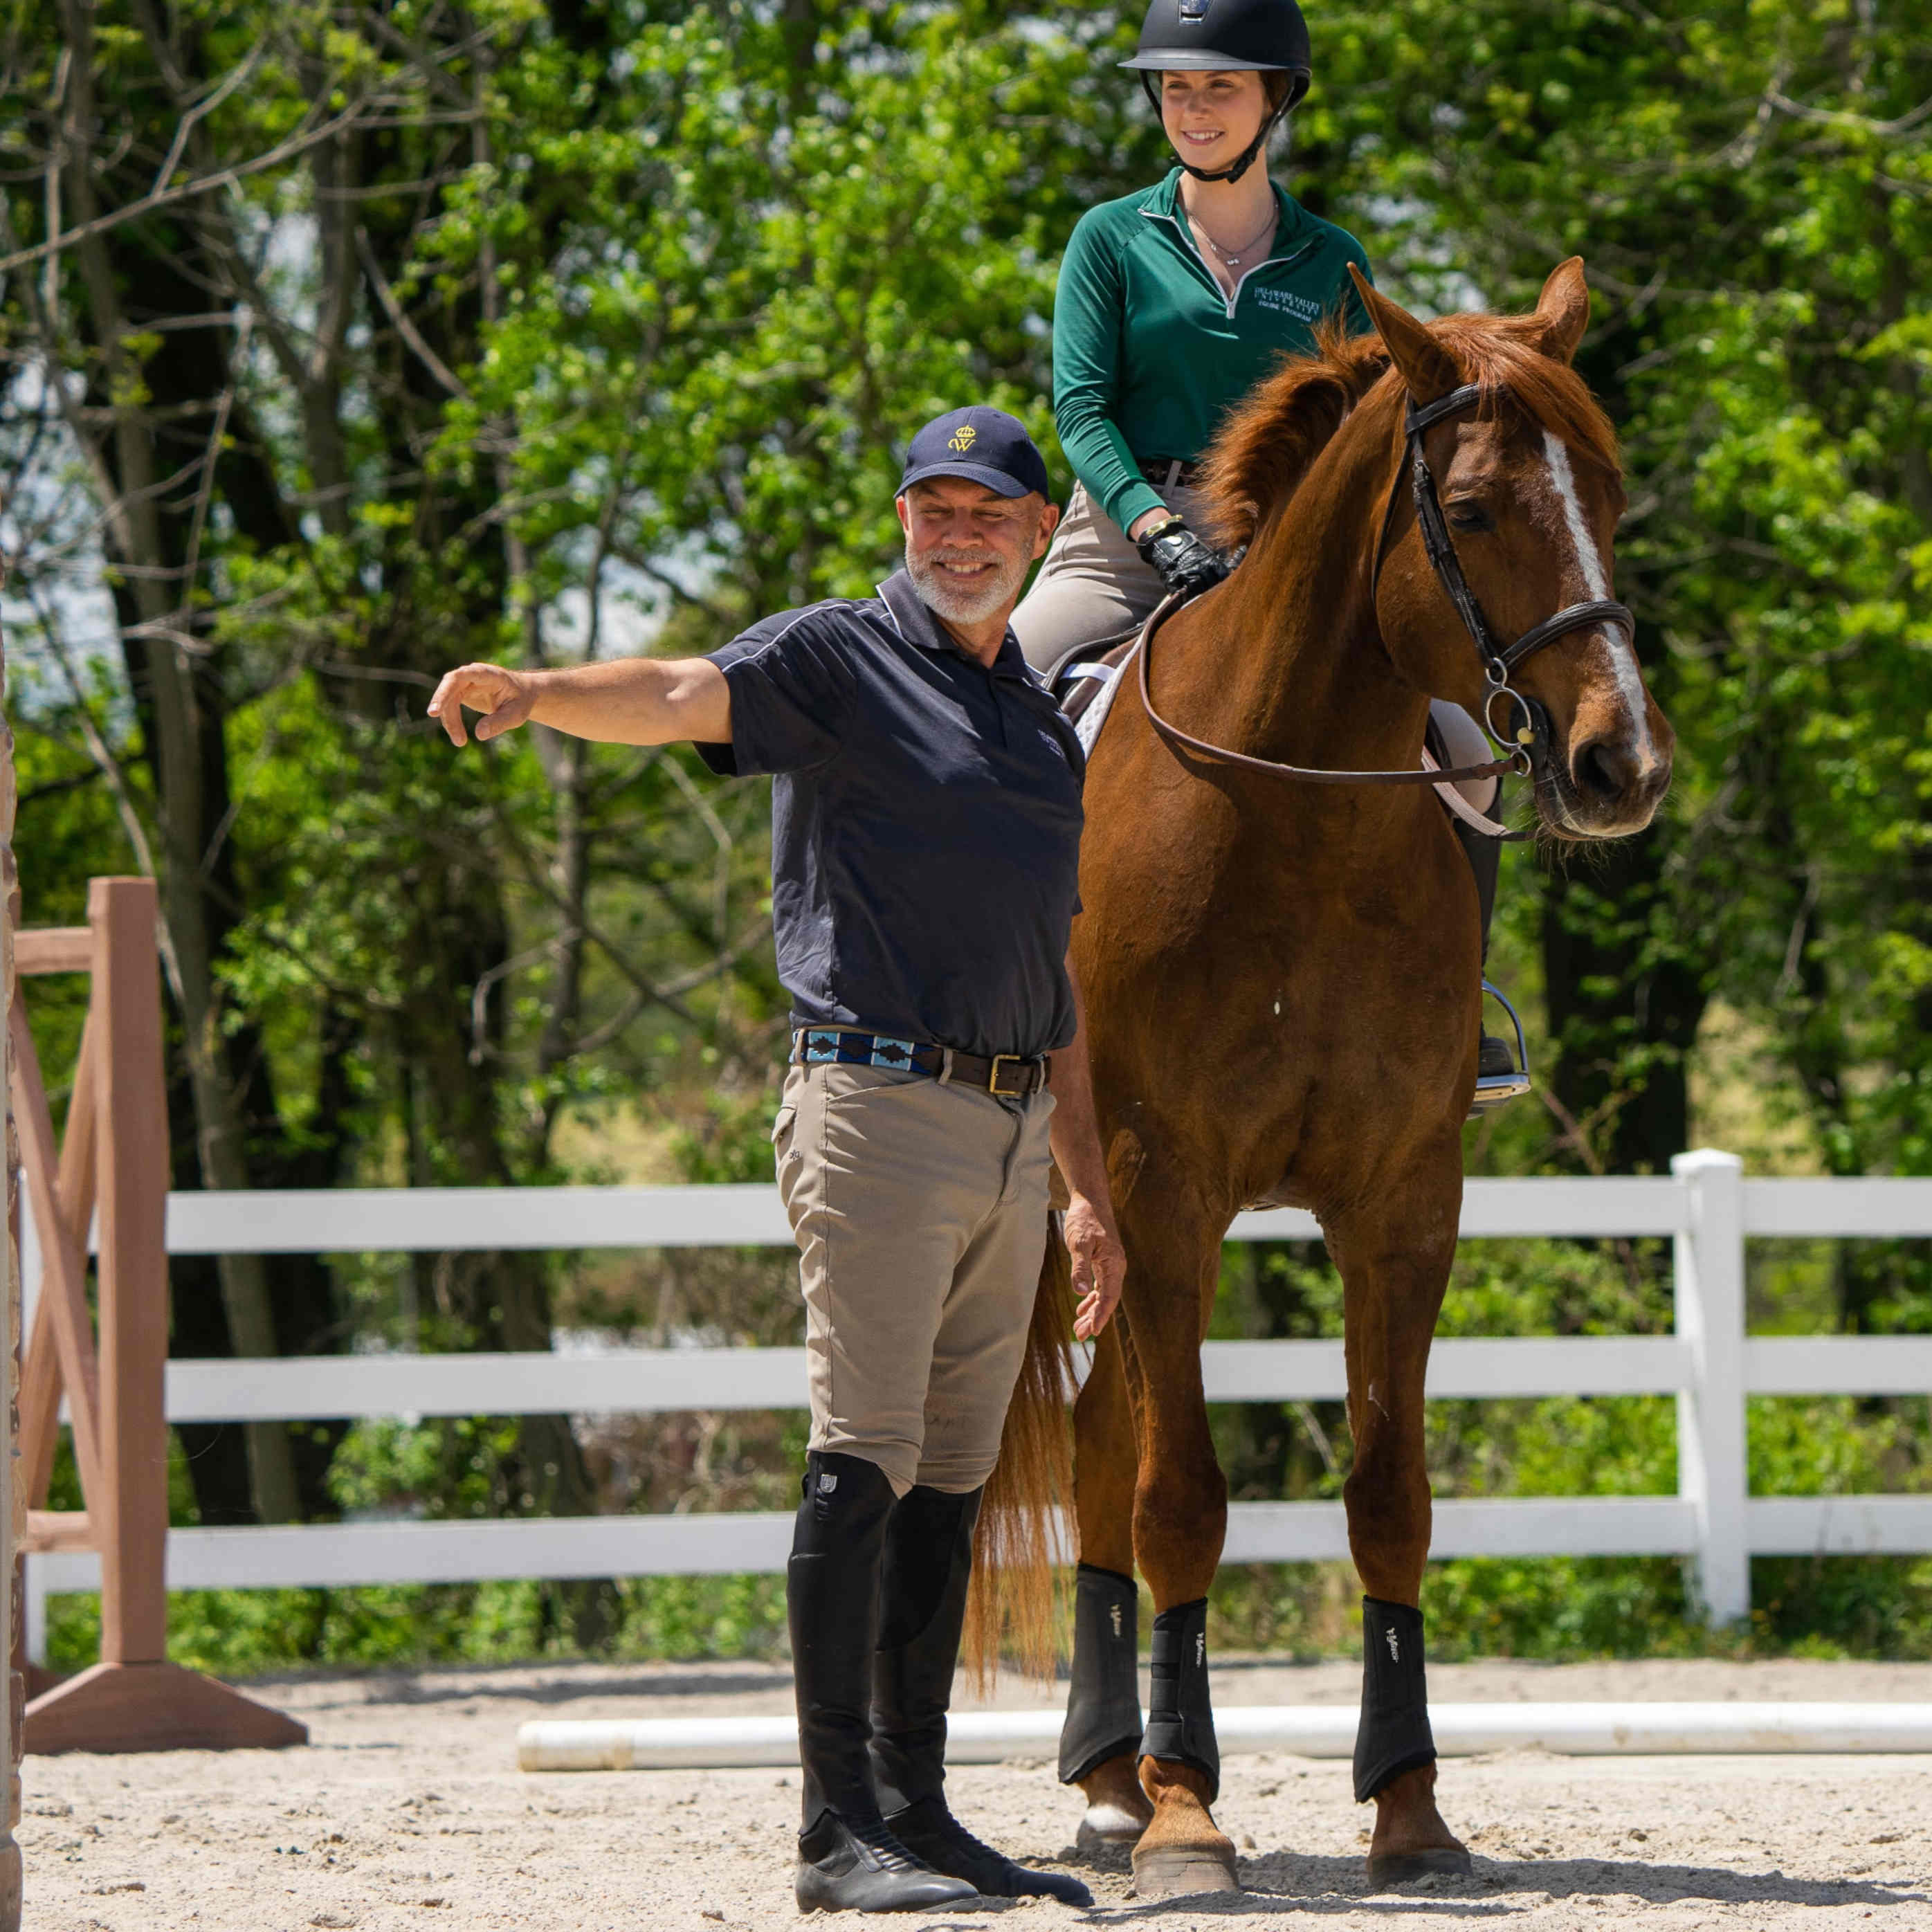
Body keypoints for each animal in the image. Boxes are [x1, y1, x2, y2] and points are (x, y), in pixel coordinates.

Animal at [976, 259, 1674, 1901]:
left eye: (1610, 491)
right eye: (1471, 507)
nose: (1621, 765)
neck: (1290, 810)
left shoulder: (1403, 1203)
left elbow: (1386, 1494)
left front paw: (1409, 1809)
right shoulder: (1161, 1196)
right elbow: (1182, 1498)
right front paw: (1190, 1823)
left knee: (1097, 1445)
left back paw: (1110, 1774)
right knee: (1101, 1456)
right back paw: (1125, 1790)